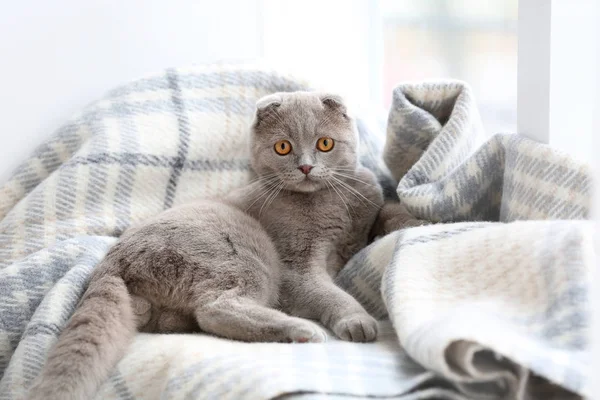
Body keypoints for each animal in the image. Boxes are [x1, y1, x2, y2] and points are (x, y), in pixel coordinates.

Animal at [27, 91, 384, 400]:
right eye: (283, 147)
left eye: (325, 143)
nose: (306, 167)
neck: (331, 201)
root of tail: (111, 263)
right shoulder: (295, 267)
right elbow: (328, 292)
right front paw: (358, 320)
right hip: (242, 255)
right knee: (215, 310)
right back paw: (301, 330)